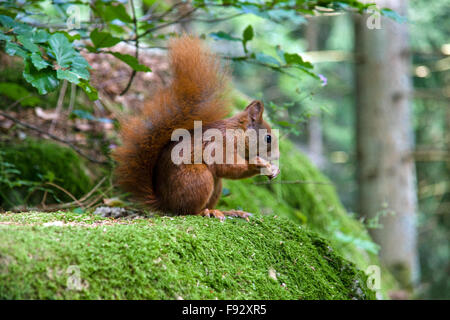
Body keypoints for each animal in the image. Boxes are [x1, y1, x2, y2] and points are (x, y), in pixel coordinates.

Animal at [112, 35, 280, 220]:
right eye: (268, 138)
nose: (277, 156)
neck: (238, 133)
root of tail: (165, 203)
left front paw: (274, 170)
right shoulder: (221, 144)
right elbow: (227, 166)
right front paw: (257, 164)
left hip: (216, 185)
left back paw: (230, 211)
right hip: (199, 177)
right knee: (187, 211)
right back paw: (206, 212)